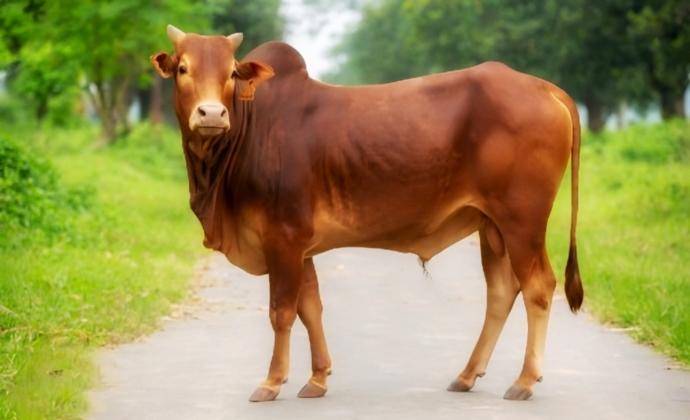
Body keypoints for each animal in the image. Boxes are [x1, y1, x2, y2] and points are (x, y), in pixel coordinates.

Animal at [151, 25, 583, 403]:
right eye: (183, 68)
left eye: (230, 73)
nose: (211, 115)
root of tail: (545, 87)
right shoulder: (300, 247)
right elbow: (311, 308)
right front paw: (318, 379)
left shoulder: (283, 239)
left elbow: (282, 313)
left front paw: (272, 382)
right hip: (491, 226)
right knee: (501, 292)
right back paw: (466, 375)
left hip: (522, 222)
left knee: (539, 287)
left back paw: (524, 380)